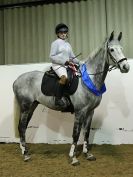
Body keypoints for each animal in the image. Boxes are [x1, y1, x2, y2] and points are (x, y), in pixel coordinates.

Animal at [12, 31, 130, 165]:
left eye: (121, 48)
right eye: (112, 49)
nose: (126, 67)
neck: (88, 80)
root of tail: (17, 80)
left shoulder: (90, 112)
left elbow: (86, 132)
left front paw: (88, 154)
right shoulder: (80, 111)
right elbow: (76, 133)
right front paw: (73, 158)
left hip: (32, 106)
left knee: (23, 127)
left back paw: (25, 150)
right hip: (25, 106)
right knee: (21, 127)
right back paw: (25, 155)